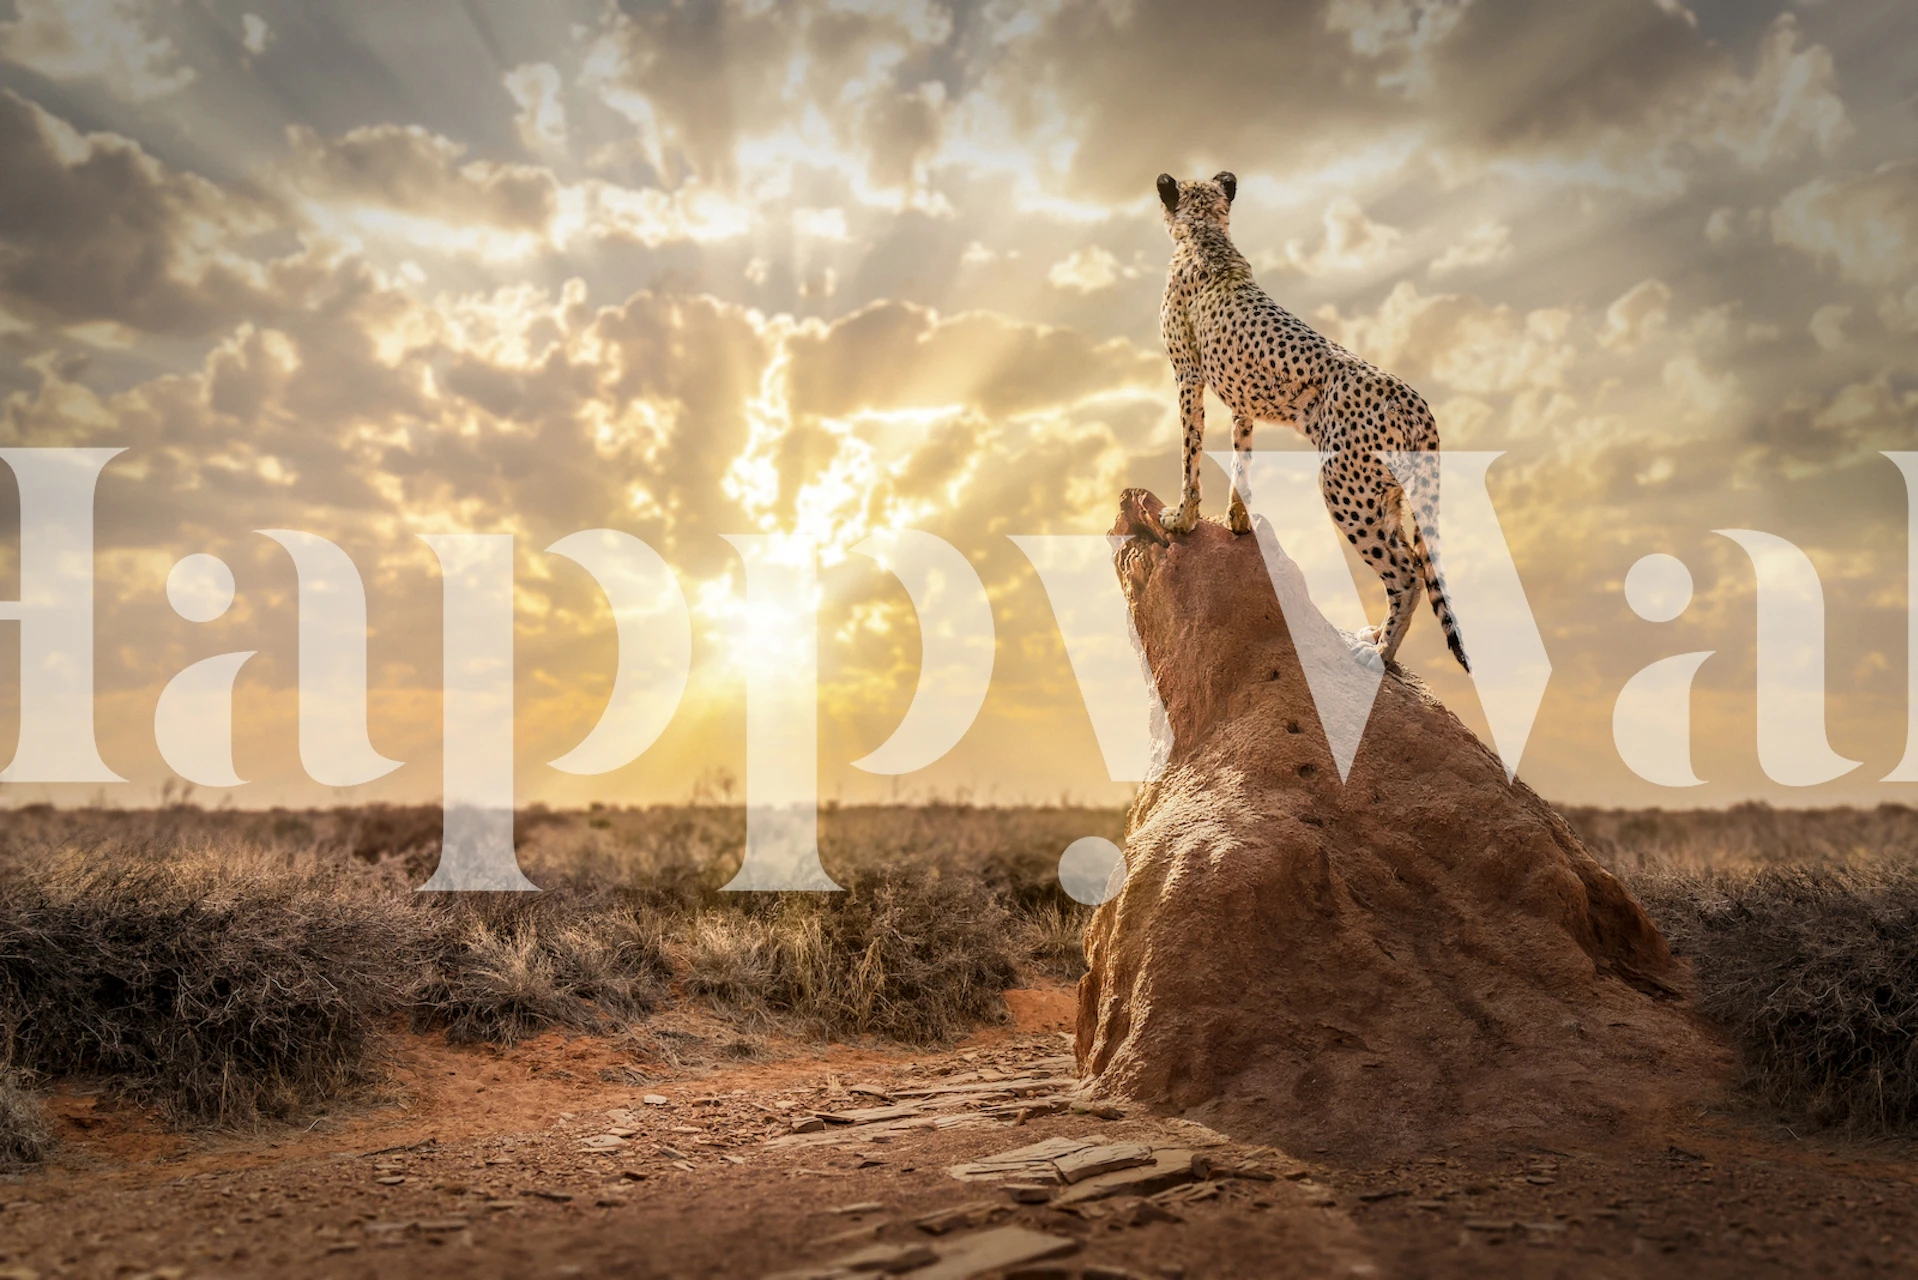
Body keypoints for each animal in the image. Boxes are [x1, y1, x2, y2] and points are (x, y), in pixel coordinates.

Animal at [1154, 169, 1470, 672]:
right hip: (1386, 494)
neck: (1206, 235)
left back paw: (1379, 654)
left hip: (1346, 488)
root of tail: (1414, 401)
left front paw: (1182, 518)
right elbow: (1242, 456)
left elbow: (1190, 454)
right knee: (1411, 559)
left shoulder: (1187, 376)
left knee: (1406, 574)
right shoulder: (1242, 400)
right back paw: (1376, 635)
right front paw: (1238, 520)